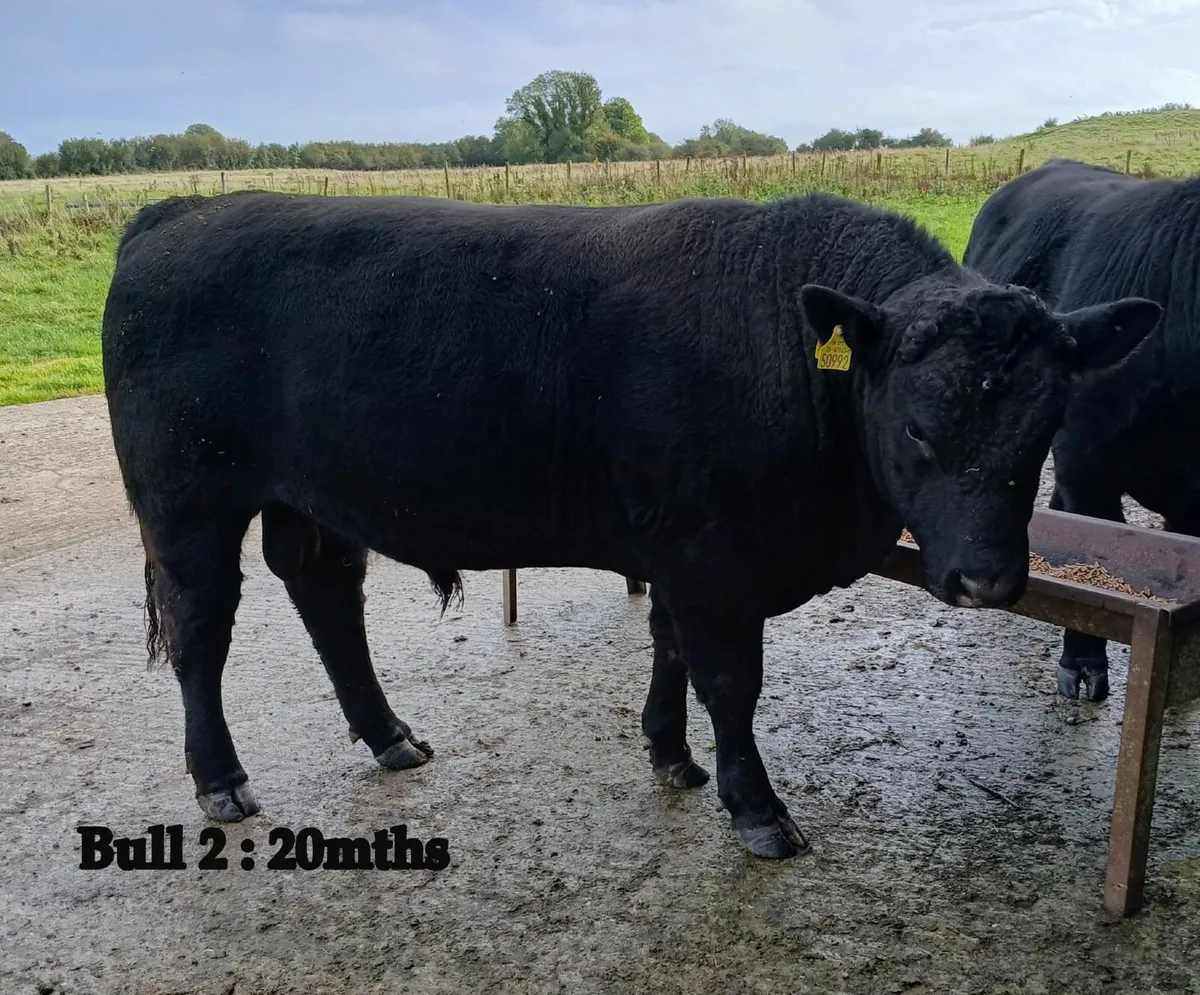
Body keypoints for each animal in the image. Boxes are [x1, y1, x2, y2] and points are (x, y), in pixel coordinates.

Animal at [101, 189, 1159, 859]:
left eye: (1046, 423)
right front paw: (755, 806)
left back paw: (389, 732)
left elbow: (670, 652)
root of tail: (176, 212)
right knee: (202, 631)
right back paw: (221, 777)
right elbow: (731, 682)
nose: (988, 580)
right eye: (916, 426)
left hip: (310, 499)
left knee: (326, 594)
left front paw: (670, 753)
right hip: (189, 505)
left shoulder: (680, 551)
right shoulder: (716, 558)